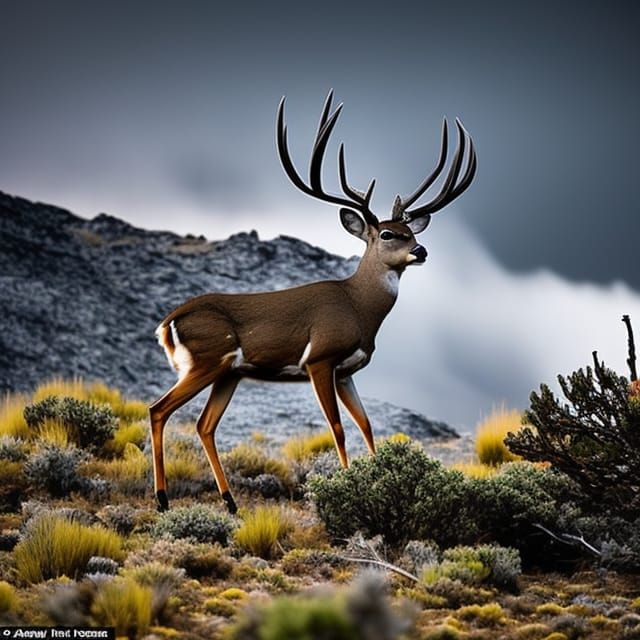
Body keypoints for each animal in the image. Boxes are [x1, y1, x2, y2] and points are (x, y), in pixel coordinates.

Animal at [150, 90, 476, 514]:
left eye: (410, 231)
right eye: (389, 234)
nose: (421, 251)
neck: (359, 307)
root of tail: (168, 322)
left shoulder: (347, 370)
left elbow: (366, 424)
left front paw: (380, 478)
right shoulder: (320, 358)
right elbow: (337, 428)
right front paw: (351, 487)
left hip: (228, 372)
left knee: (204, 424)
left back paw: (231, 502)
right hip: (206, 361)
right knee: (159, 410)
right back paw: (162, 500)